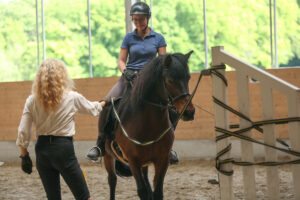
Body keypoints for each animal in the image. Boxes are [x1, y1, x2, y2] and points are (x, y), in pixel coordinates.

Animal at [101, 50, 196, 199]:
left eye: (188, 78)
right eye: (170, 80)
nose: (189, 112)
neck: (148, 125)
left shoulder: (162, 160)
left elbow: (157, 192)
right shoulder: (134, 161)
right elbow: (142, 191)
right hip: (108, 157)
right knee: (112, 180)